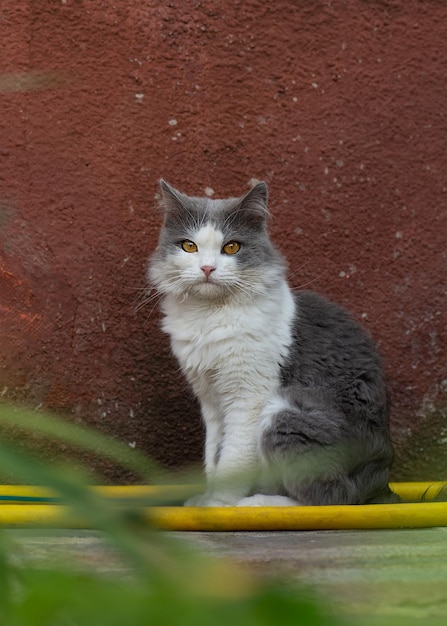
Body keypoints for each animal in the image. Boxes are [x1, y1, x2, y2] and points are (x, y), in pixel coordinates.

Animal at [150, 179, 400, 508]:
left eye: (231, 247)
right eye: (189, 246)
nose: (207, 268)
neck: (209, 315)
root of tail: (382, 485)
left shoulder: (249, 395)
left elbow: (232, 458)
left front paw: (219, 506)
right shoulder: (211, 399)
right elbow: (213, 455)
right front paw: (205, 499)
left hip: (287, 413)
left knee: (328, 498)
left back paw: (259, 502)